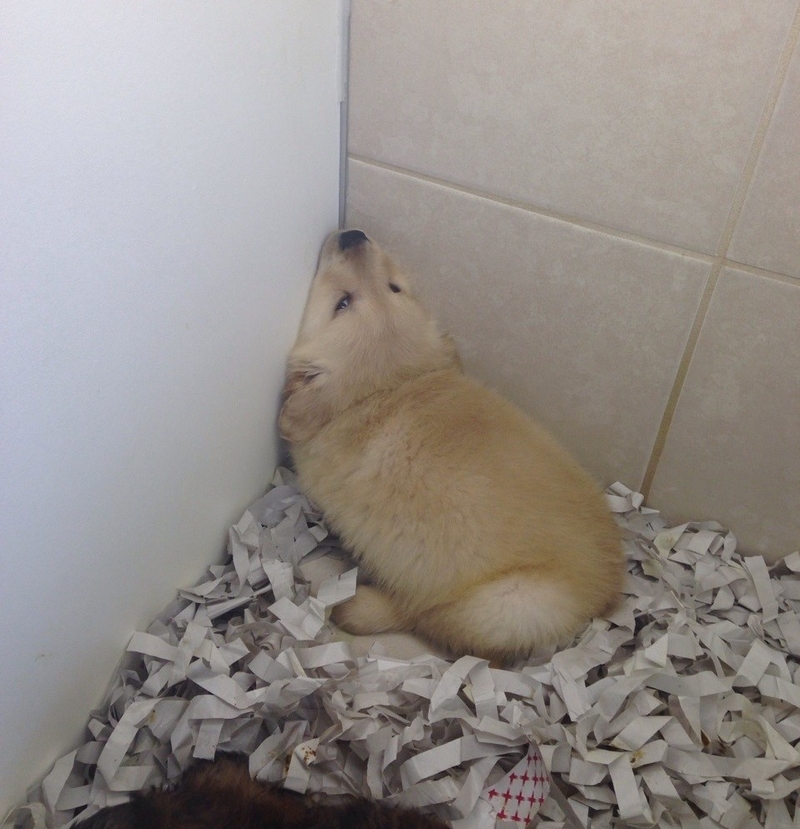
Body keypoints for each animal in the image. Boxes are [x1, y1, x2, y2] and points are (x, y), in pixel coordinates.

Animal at [282, 228, 624, 660]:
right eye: (393, 288)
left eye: (342, 303)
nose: (354, 234)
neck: (388, 388)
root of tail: (608, 595)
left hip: (510, 605)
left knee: (425, 616)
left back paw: (356, 606)